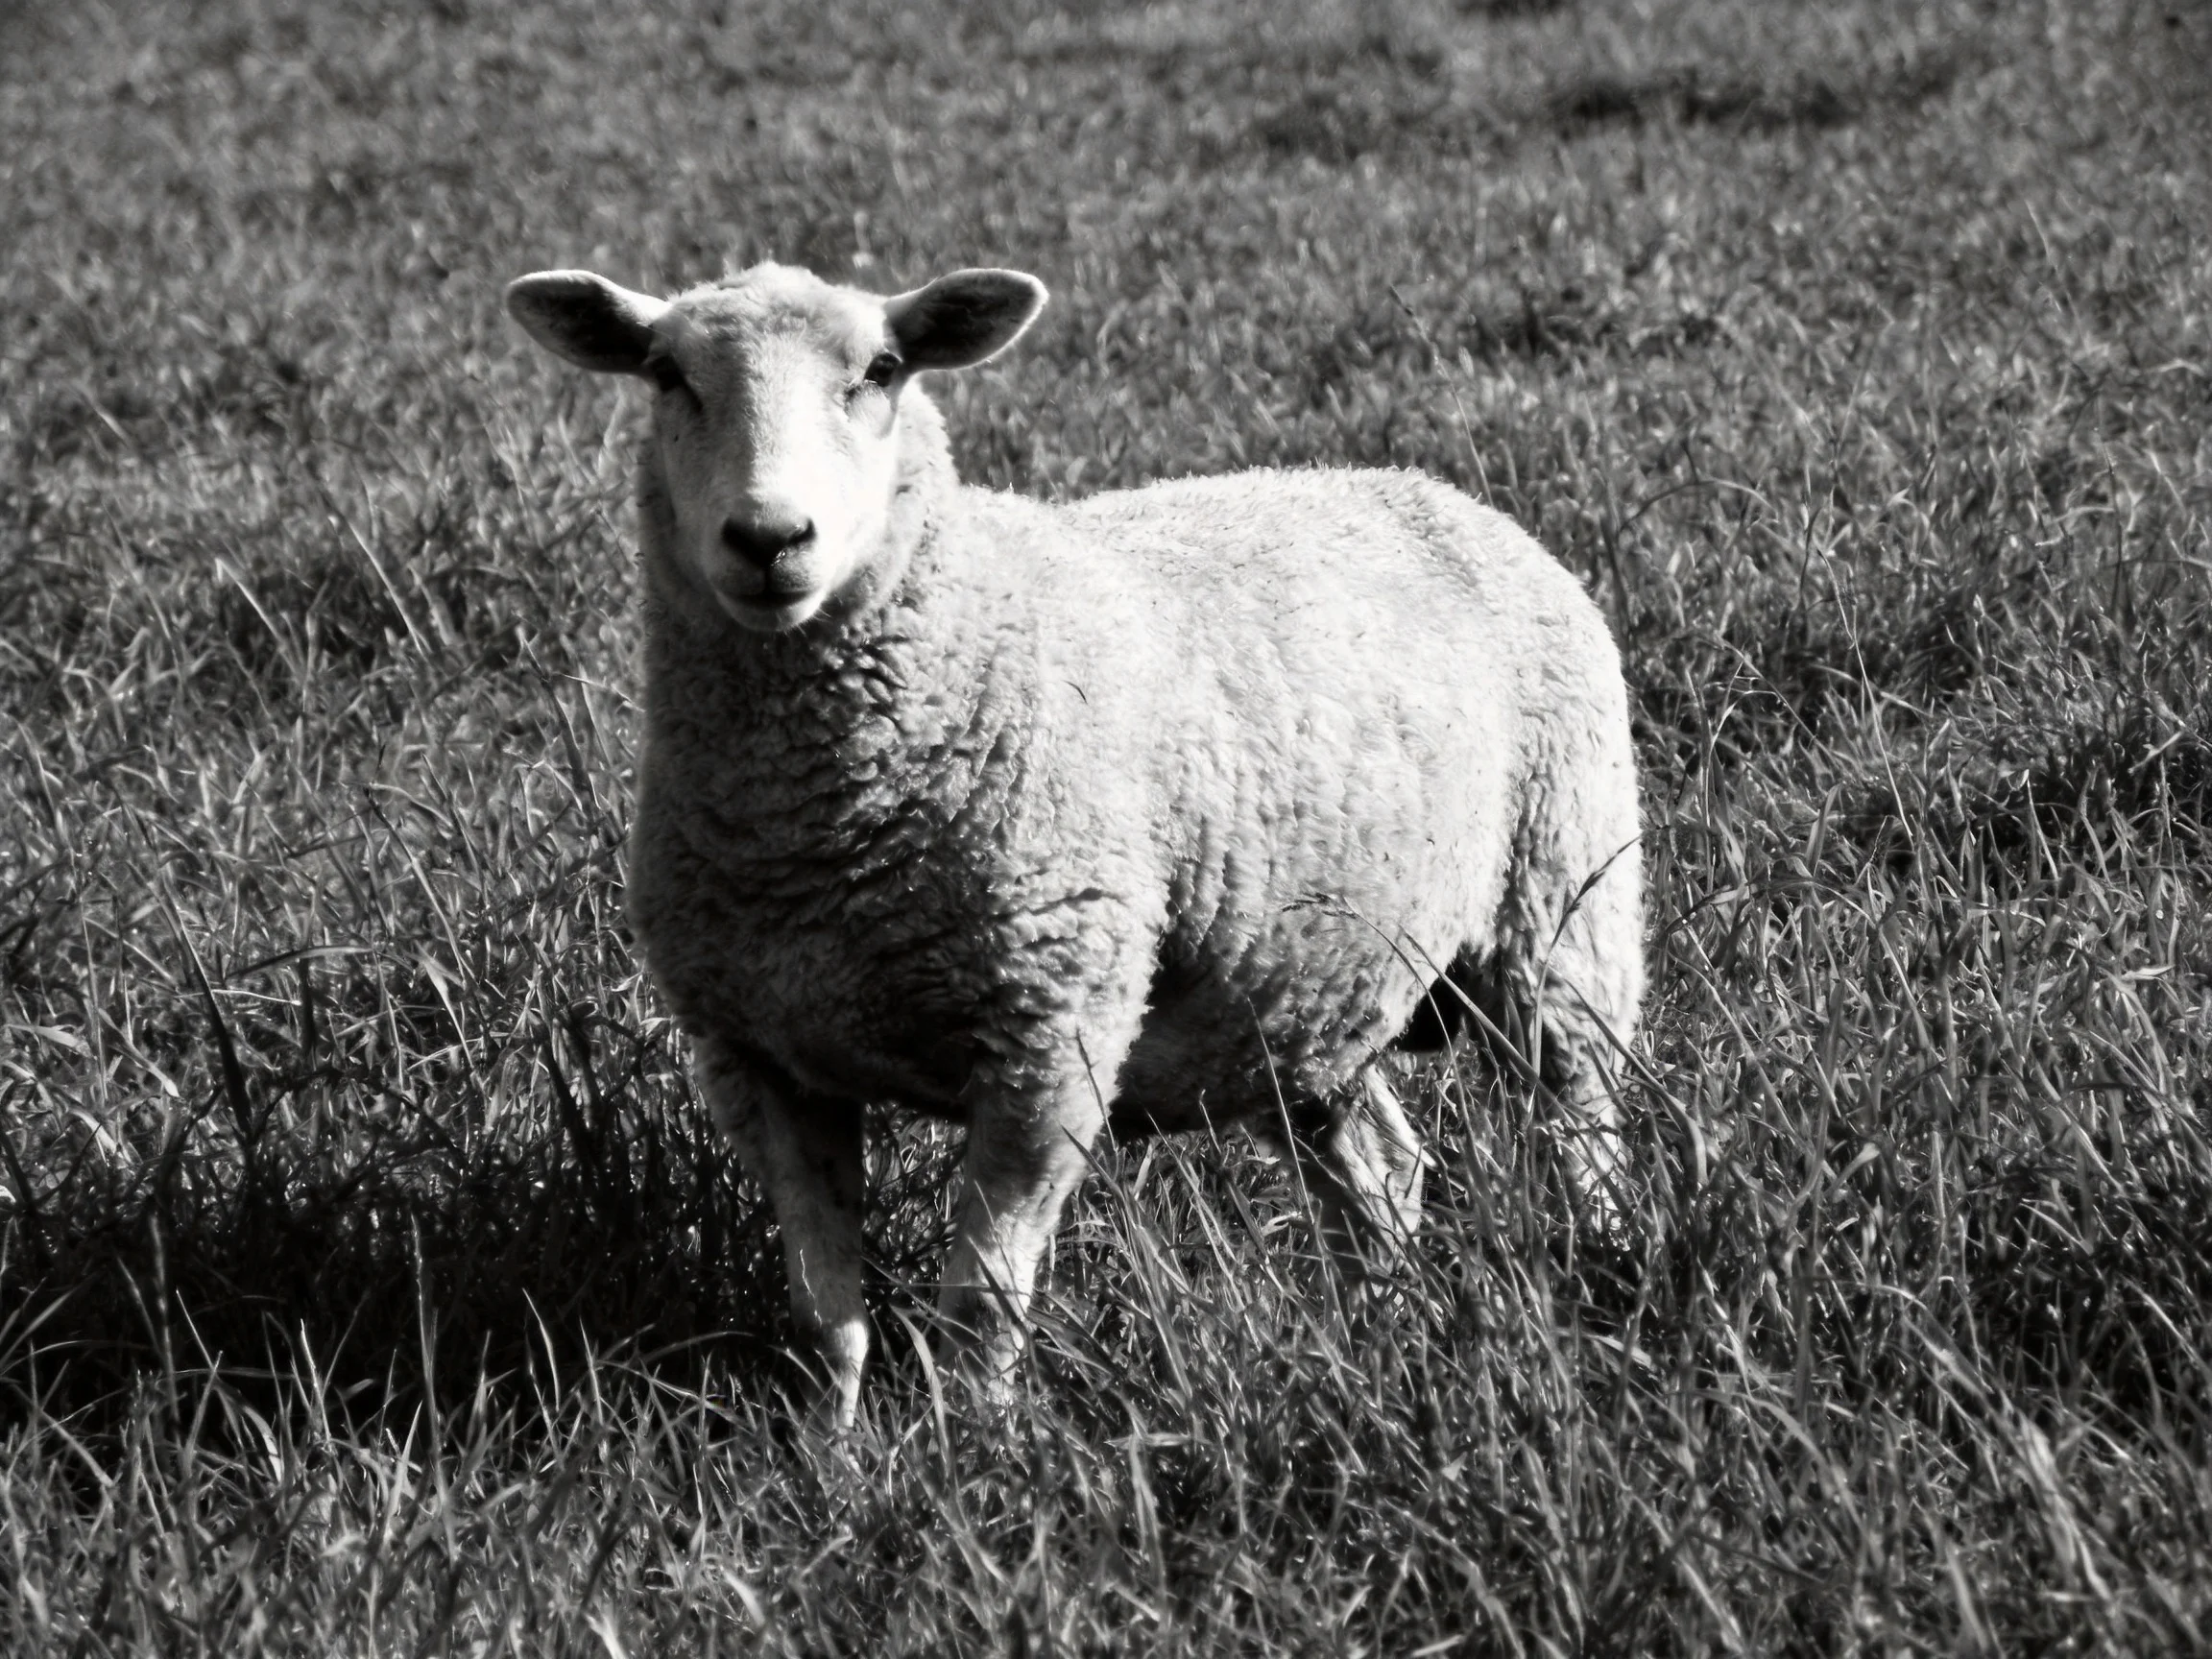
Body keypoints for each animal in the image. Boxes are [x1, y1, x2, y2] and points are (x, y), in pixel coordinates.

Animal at [505, 259, 1645, 1428]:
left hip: (1565, 905)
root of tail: (1435, 490)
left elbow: (979, 1308)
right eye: (665, 374)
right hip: (1303, 996)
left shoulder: (1049, 1036)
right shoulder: (762, 1058)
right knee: (1381, 1170)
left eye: (882, 370)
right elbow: (825, 1318)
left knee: (1580, 1128)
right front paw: (828, 1454)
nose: (769, 538)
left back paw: (1593, 1285)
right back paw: (1378, 1337)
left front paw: (971, 1451)